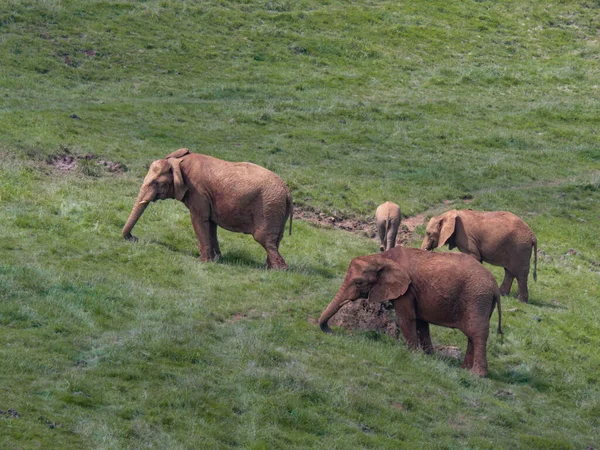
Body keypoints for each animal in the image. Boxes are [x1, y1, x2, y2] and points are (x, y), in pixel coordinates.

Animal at [121, 148, 292, 268]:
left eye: (156, 183)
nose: (133, 238)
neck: (178, 161)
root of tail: (288, 191)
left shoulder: (198, 191)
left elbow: (198, 219)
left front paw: (203, 262)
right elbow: (210, 224)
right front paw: (217, 260)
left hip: (268, 207)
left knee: (264, 239)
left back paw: (278, 270)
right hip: (276, 210)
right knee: (275, 240)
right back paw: (268, 268)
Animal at [318, 248, 502, 378]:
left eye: (358, 283)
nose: (331, 331)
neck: (383, 257)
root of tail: (495, 287)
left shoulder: (406, 290)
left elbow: (406, 318)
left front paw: (412, 354)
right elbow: (421, 322)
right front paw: (428, 356)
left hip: (477, 299)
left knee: (477, 333)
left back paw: (476, 375)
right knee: (472, 334)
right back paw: (464, 369)